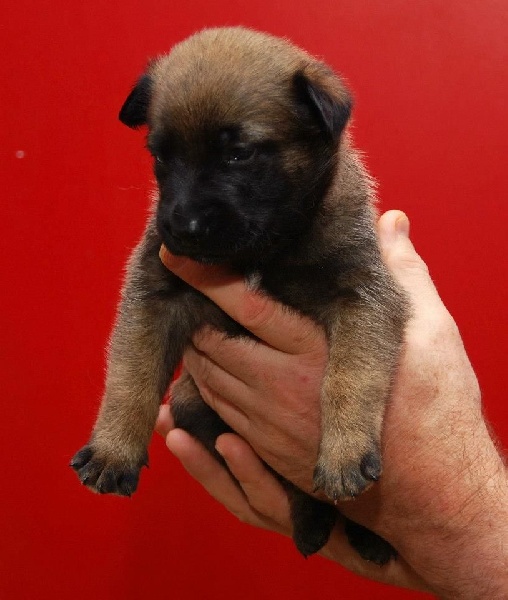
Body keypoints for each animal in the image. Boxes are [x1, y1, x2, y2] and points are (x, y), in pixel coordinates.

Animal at [71, 27, 408, 563]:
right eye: (161, 156)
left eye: (239, 153)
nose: (183, 227)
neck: (264, 250)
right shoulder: (153, 294)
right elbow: (130, 375)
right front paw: (112, 448)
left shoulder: (363, 293)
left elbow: (350, 376)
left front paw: (345, 449)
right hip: (191, 404)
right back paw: (315, 523)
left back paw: (367, 533)